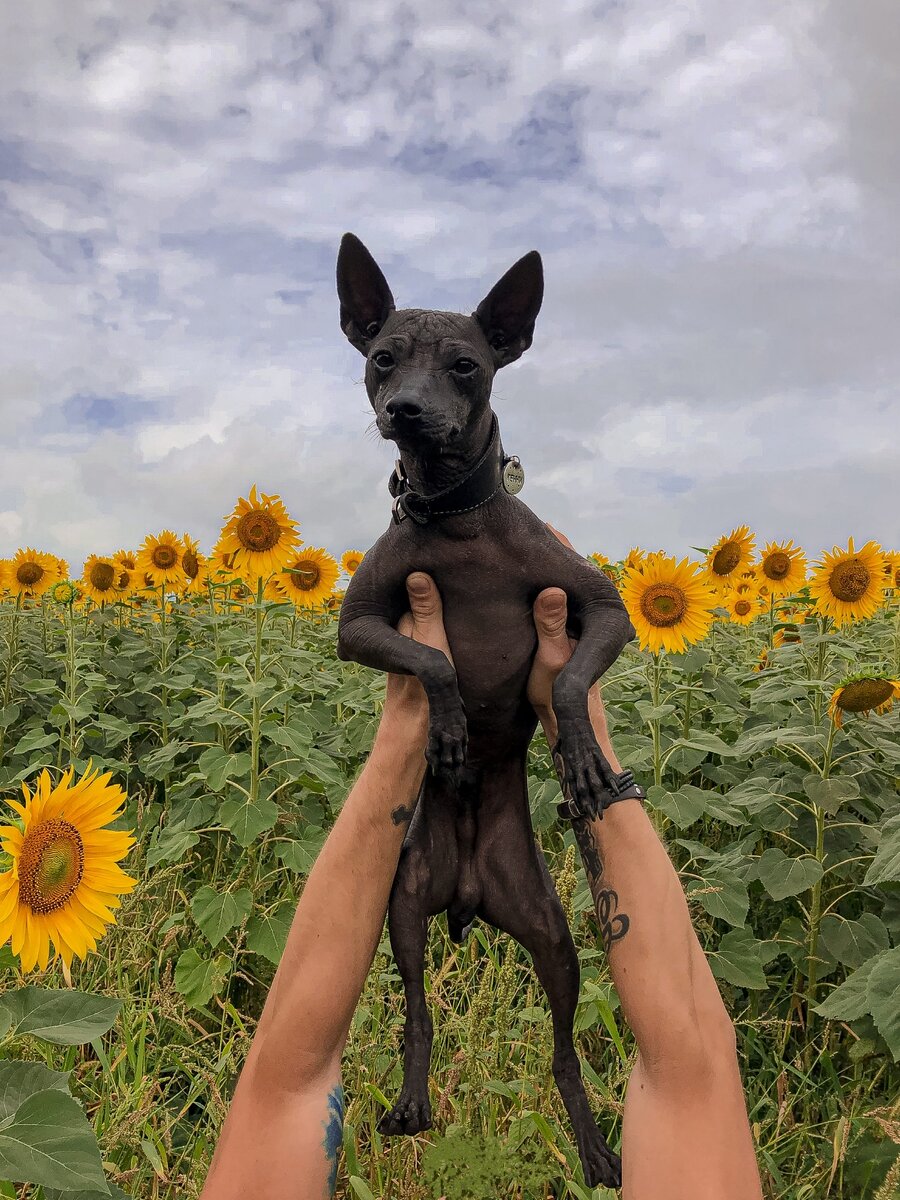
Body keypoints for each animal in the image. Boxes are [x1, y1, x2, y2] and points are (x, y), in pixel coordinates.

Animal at [338, 234, 643, 1190]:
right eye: (382, 358)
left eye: (466, 366)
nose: (405, 410)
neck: (457, 519)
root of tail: (473, 892)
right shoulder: (357, 628)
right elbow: (435, 659)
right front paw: (447, 731)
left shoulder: (605, 609)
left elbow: (571, 683)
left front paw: (579, 758)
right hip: (404, 913)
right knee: (417, 1011)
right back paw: (411, 1099)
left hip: (555, 939)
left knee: (564, 1053)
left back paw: (593, 1144)